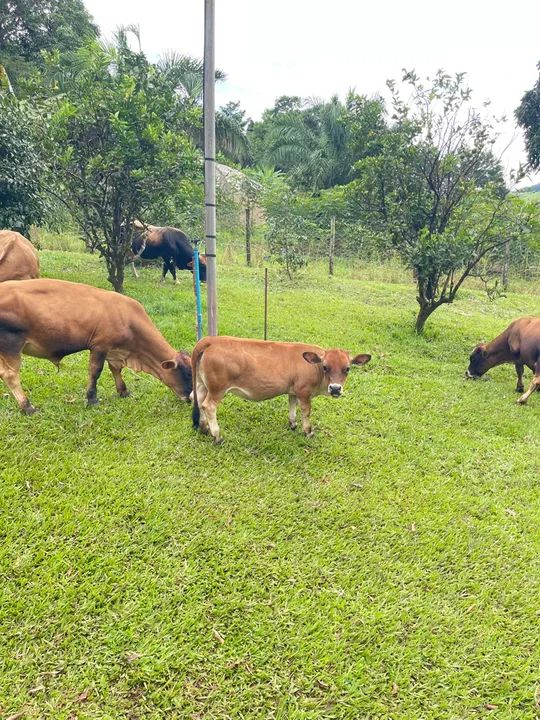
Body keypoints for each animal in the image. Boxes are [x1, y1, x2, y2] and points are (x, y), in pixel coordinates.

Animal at [0, 279, 192, 415]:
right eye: (187, 375)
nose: (190, 398)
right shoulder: (100, 346)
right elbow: (95, 371)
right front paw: (92, 399)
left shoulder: (114, 350)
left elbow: (115, 369)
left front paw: (123, 391)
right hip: (11, 345)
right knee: (10, 375)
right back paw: (27, 407)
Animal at [191, 336, 371, 443]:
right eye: (325, 366)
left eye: (347, 368)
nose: (335, 388)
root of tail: (211, 340)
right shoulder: (304, 391)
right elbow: (306, 412)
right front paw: (308, 432)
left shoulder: (293, 390)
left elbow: (292, 406)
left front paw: (292, 424)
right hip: (217, 389)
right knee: (209, 406)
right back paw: (217, 435)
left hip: (202, 384)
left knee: (199, 401)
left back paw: (204, 428)